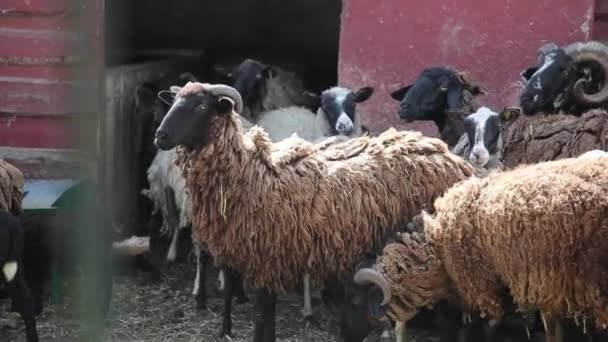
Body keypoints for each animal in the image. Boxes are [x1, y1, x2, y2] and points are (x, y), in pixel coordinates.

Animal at [152, 81, 476, 340]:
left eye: (200, 106)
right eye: (175, 101)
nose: (160, 136)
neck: (251, 174)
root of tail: (449, 155)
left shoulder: (266, 261)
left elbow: (263, 322)